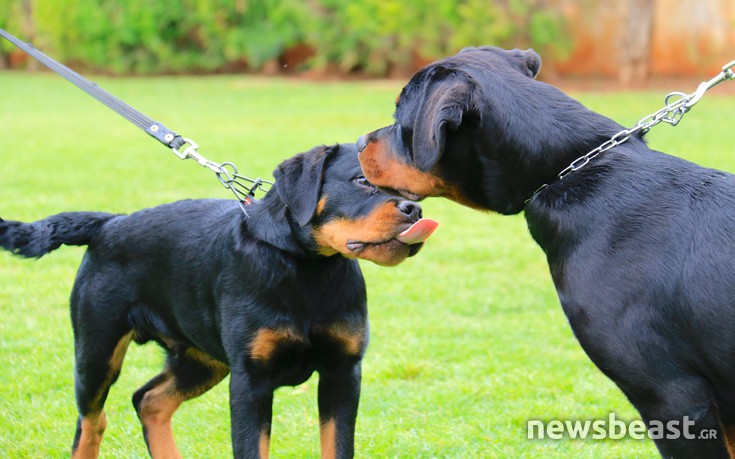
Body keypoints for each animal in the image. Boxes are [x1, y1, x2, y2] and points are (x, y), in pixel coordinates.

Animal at [0, 145, 436, 459]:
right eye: (362, 180)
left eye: (412, 191)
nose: (414, 209)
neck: (306, 270)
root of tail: (109, 223)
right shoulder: (251, 381)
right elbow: (251, 448)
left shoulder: (343, 372)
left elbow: (338, 447)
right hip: (97, 351)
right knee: (91, 422)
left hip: (201, 359)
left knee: (148, 401)